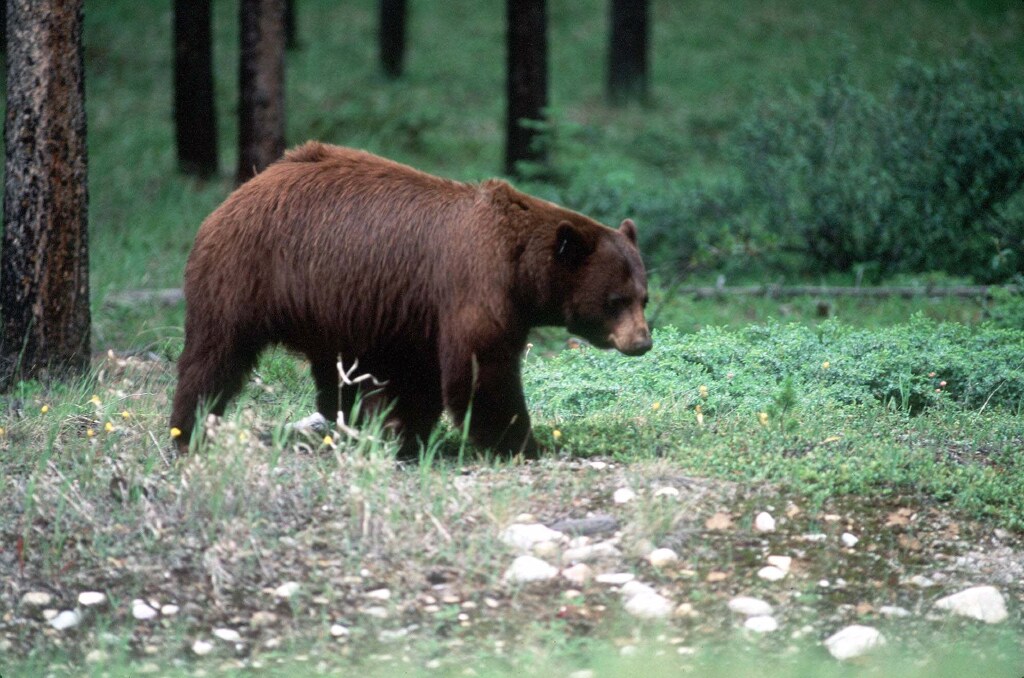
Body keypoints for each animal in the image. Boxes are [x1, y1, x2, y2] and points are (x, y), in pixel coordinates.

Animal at [170, 142, 652, 458]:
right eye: (615, 300)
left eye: (643, 297)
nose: (642, 342)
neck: (520, 270)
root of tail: (242, 189)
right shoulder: (474, 286)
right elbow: (483, 370)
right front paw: (519, 442)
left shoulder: (417, 311)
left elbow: (421, 378)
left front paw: (404, 435)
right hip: (246, 273)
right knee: (215, 354)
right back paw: (188, 429)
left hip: (331, 305)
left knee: (335, 372)